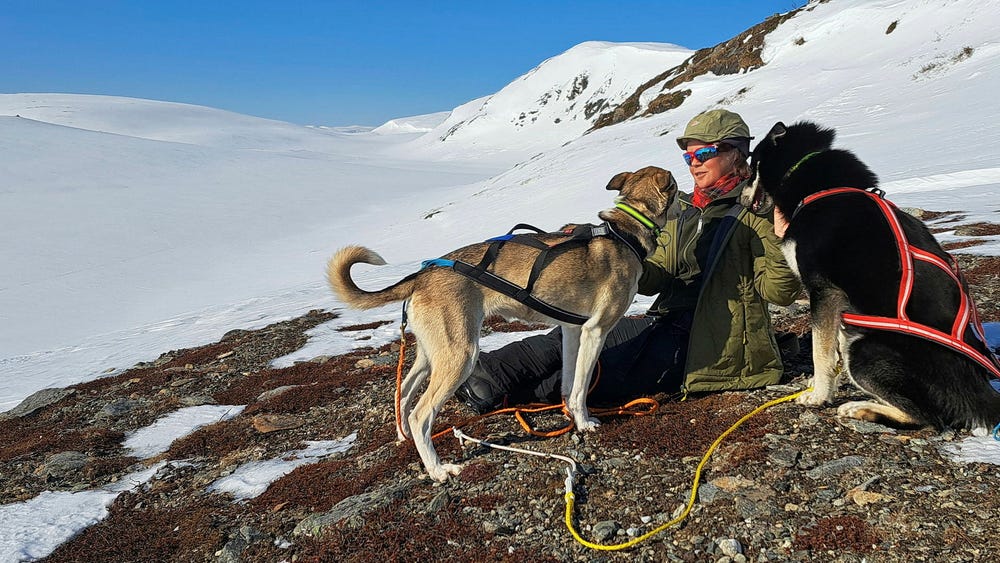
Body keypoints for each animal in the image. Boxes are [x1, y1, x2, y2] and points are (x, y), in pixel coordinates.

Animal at [328, 166, 680, 480]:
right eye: (676, 189)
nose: (688, 202)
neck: (624, 232)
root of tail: (422, 275)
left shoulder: (573, 331)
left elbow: (569, 384)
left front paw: (569, 414)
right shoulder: (596, 331)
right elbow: (581, 387)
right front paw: (584, 422)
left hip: (433, 354)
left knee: (402, 391)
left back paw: (403, 439)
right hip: (461, 355)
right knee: (420, 414)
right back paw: (439, 470)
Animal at [748, 121, 1000, 434]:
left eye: (751, 166)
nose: (741, 197)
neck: (821, 186)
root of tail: (980, 393)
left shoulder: (823, 291)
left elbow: (821, 351)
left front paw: (818, 395)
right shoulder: (841, 305)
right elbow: (833, 348)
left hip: (865, 351)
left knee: (928, 418)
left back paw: (862, 408)